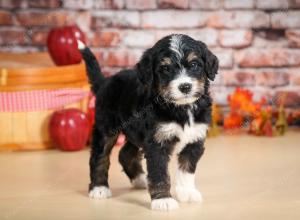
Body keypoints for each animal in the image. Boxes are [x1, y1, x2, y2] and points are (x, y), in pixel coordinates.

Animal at [77, 34, 218, 211]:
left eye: (194, 64)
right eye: (165, 68)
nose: (185, 87)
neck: (182, 108)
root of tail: (105, 82)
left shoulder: (194, 140)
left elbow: (186, 170)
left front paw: (187, 193)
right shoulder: (157, 143)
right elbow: (159, 172)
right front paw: (163, 200)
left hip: (134, 132)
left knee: (125, 154)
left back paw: (140, 179)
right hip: (106, 128)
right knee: (99, 156)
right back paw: (99, 188)